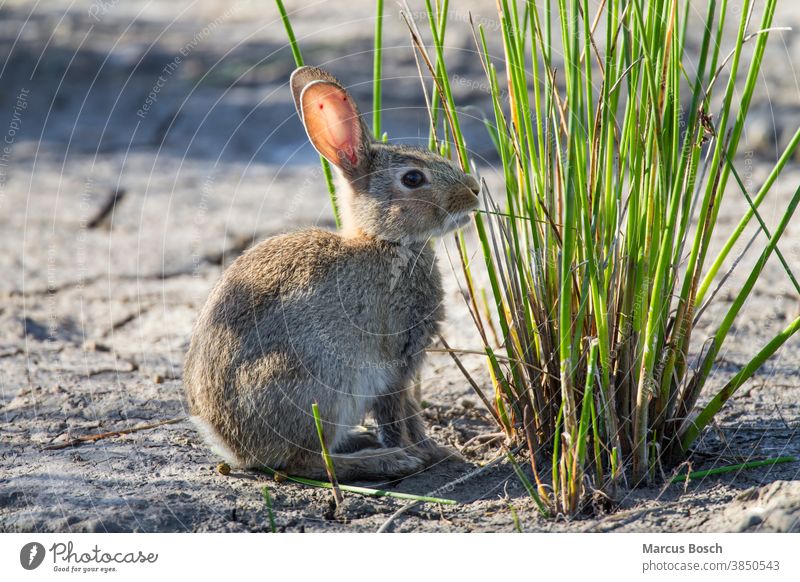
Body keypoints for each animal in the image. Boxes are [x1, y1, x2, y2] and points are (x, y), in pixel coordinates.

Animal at [184, 65, 478, 484]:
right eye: (413, 179)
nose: (474, 190)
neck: (385, 241)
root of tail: (227, 441)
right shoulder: (395, 363)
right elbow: (400, 415)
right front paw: (430, 453)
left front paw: (433, 452)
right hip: (322, 385)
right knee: (306, 462)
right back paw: (383, 460)